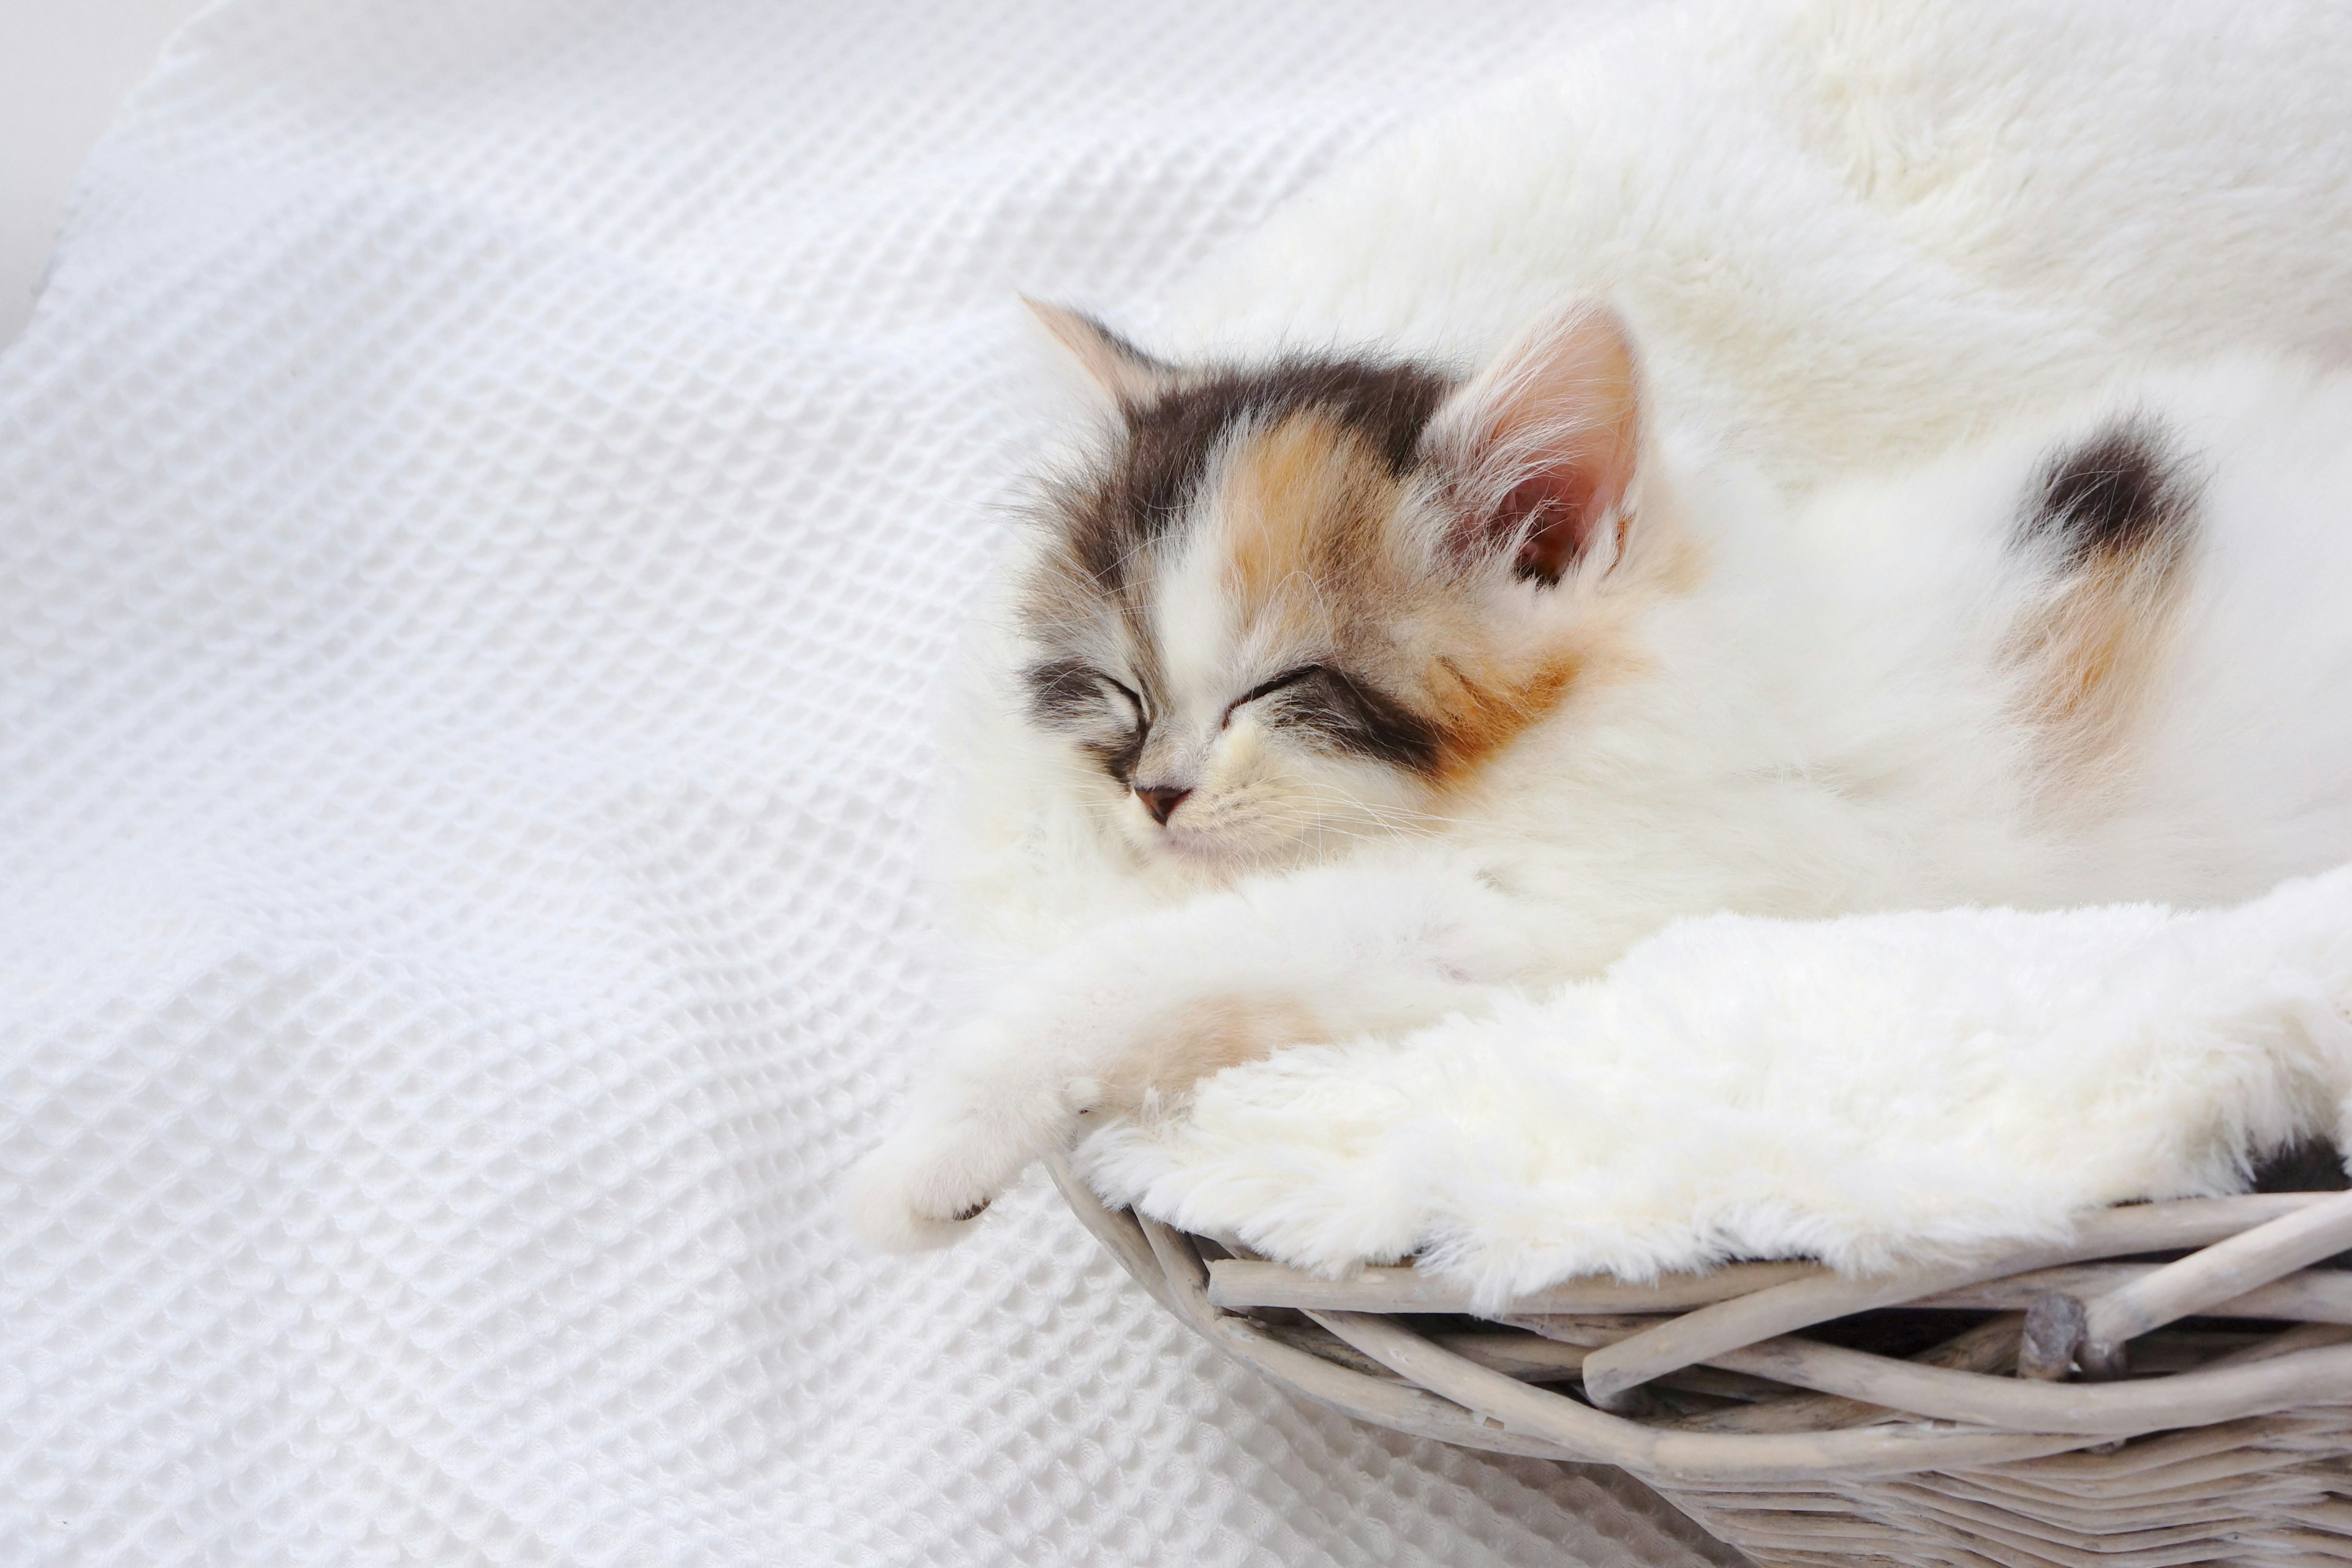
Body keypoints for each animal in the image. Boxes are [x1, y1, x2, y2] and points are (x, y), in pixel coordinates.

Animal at [856, 293, 2352, 1250]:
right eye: (1122, 691)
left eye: (1284, 693)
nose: (1153, 794)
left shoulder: (1591, 920)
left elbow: (1194, 955)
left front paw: (936, 1147)